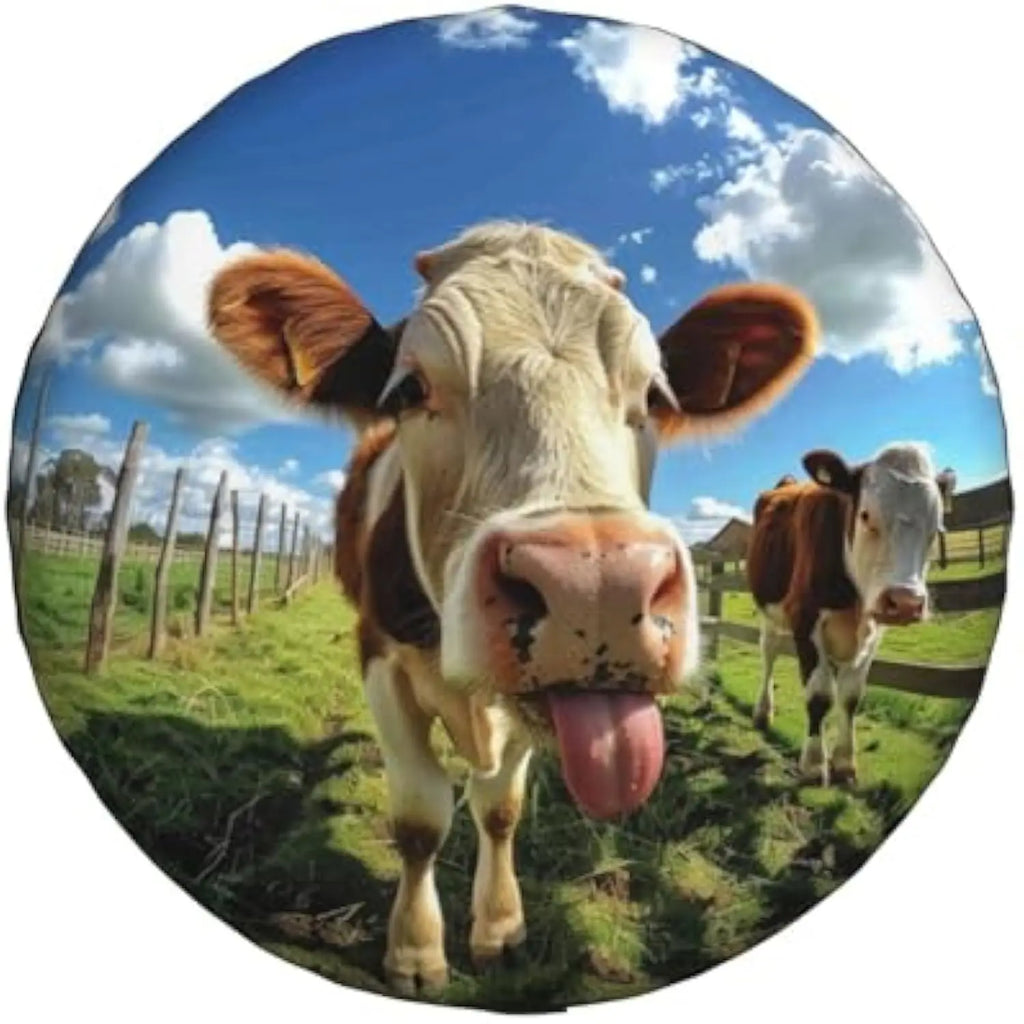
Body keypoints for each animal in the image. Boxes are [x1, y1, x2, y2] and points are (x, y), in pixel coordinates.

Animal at [207, 221, 819, 992]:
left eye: (654, 394)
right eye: (409, 387)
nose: (597, 587)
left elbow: (499, 809)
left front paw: (498, 930)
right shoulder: (379, 661)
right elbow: (420, 818)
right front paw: (415, 953)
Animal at [747, 444, 956, 786]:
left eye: (937, 528)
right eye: (865, 515)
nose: (906, 602)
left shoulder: (874, 630)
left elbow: (850, 696)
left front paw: (844, 762)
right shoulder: (804, 617)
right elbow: (819, 696)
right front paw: (814, 765)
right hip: (770, 610)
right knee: (769, 652)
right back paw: (763, 712)